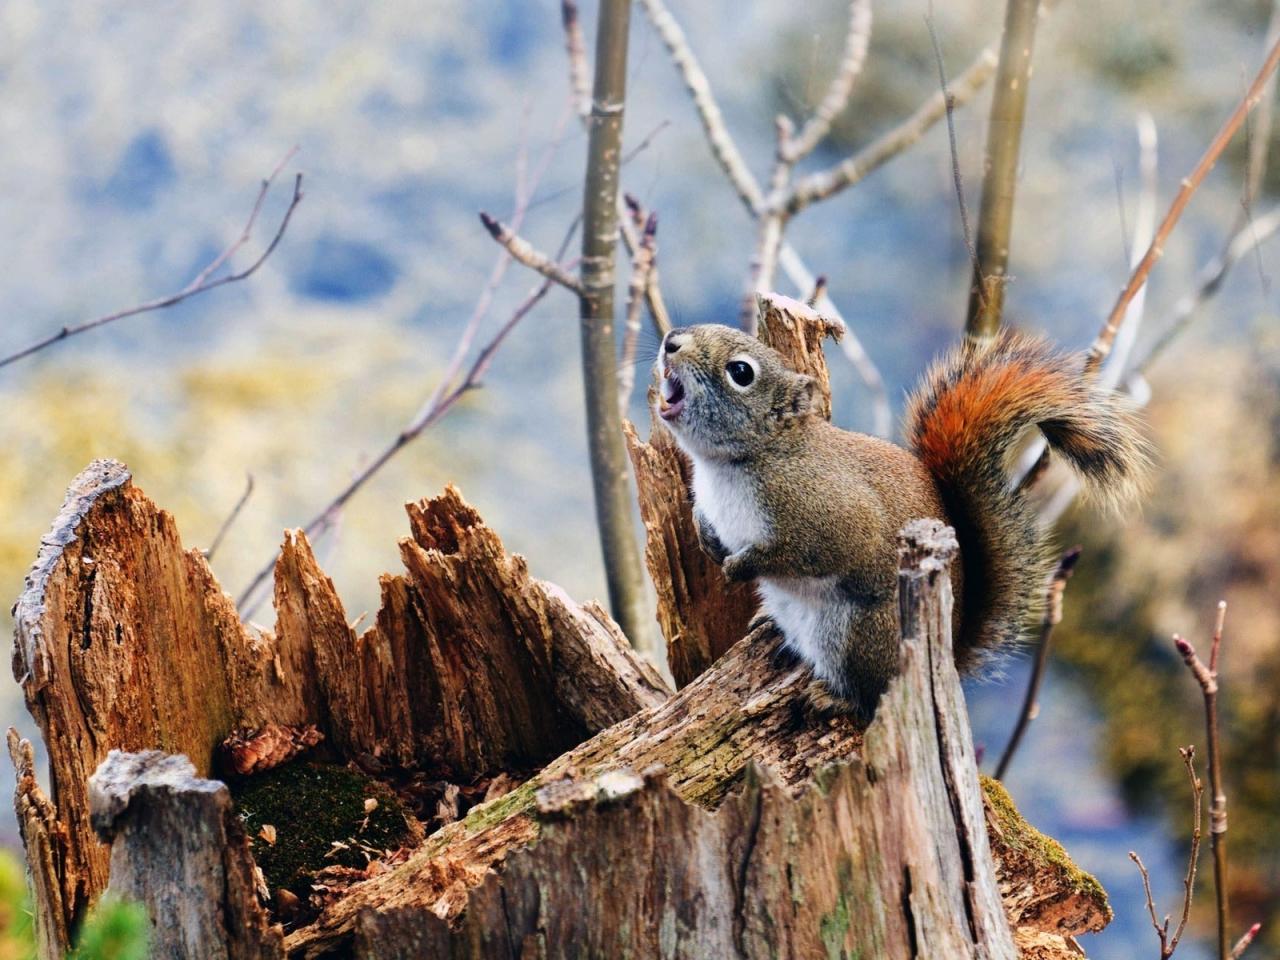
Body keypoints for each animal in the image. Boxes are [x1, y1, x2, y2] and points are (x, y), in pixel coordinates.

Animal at [650, 323, 1152, 721]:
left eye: (741, 373)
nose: (671, 341)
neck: (734, 464)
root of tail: (948, 653)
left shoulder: (827, 512)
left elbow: (809, 551)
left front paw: (742, 565)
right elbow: (708, 523)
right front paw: (707, 537)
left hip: (862, 636)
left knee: (873, 696)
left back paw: (834, 699)